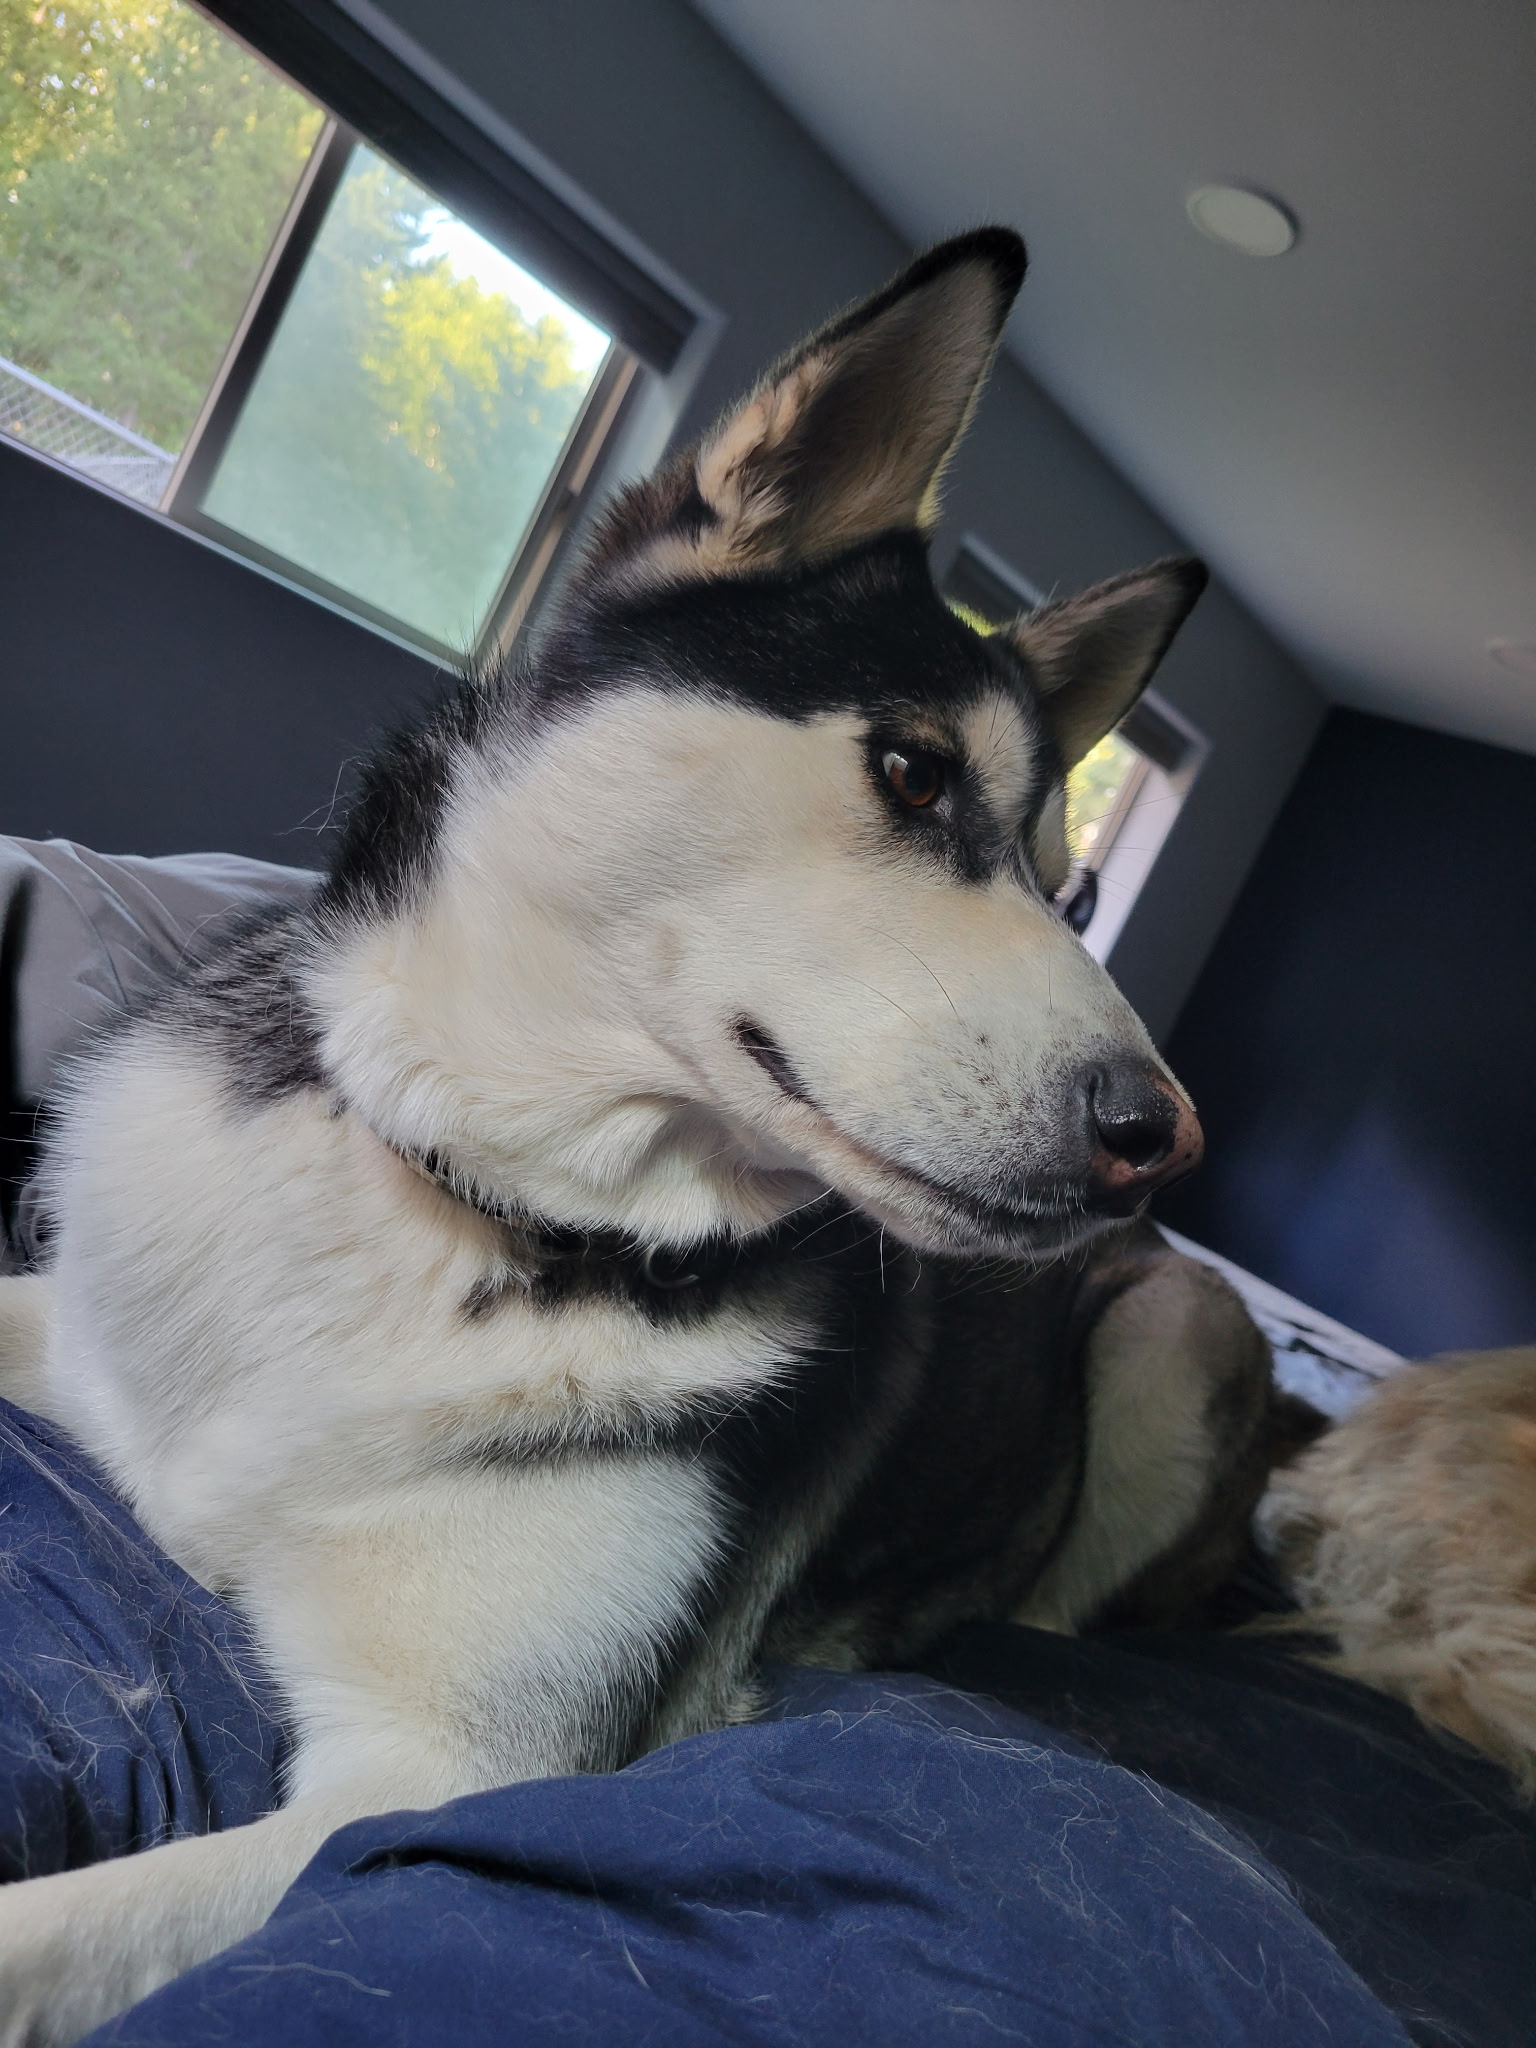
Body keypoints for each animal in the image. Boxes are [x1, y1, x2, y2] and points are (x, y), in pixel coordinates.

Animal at [0, 227, 1277, 2042]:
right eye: (911, 769)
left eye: (1077, 896)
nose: (1159, 1137)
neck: (471, 1198)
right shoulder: (78, 1327)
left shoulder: (433, 1778)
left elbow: (46, 1932)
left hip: (1168, 1335)